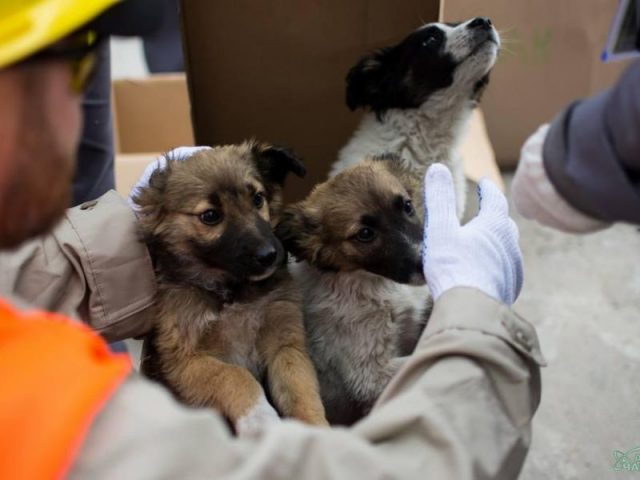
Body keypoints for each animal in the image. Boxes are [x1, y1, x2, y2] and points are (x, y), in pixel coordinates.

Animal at [133, 142, 328, 436]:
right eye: (210, 216)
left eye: (258, 199)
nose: (269, 255)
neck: (233, 291)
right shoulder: (185, 361)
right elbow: (235, 375)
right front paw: (261, 420)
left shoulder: (286, 343)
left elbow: (301, 391)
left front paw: (320, 432)